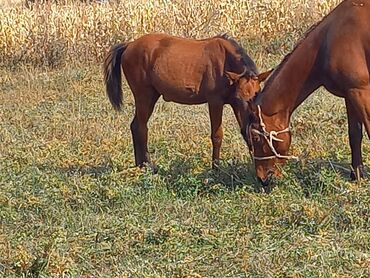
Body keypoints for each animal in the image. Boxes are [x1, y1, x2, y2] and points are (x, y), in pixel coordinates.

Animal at [104, 34, 272, 170]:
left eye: (257, 94)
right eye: (239, 97)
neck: (225, 61)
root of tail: (129, 45)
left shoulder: (235, 106)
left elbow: (244, 132)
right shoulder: (216, 102)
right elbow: (217, 135)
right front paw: (216, 168)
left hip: (151, 96)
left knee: (135, 126)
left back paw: (139, 164)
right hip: (144, 96)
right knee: (141, 128)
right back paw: (147, 165)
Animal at [246, 0, 370, 188]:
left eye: (256, 138)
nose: (262, 178)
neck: (328, 41)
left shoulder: (361, 91)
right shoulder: (350, 94)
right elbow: (355, 135)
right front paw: (357, 175)